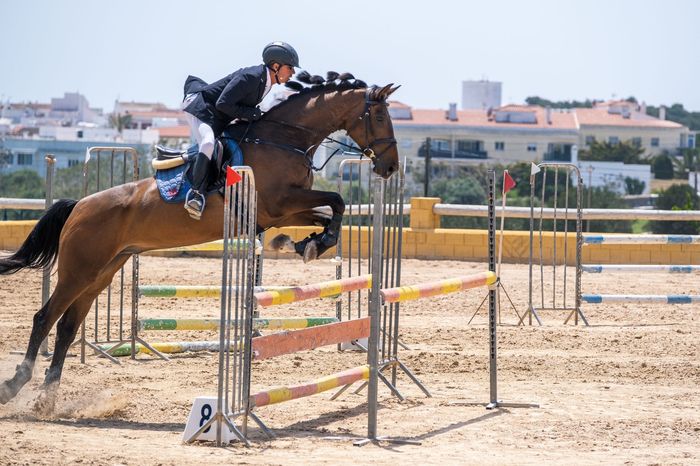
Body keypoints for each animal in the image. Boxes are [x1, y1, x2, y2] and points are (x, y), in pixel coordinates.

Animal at [0, 71, 400, 410]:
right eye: (380, 117)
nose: (391, 167)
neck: (285, 139)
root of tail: (79, 206)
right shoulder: (279, 203)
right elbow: (337, 199)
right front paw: (311, 243)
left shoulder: (281, 212)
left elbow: (331, 210)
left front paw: (310, 243)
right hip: (79, 271)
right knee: (44, 318)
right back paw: (15, 386)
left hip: (102, 272)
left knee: (67, 327)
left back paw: (47, 399)